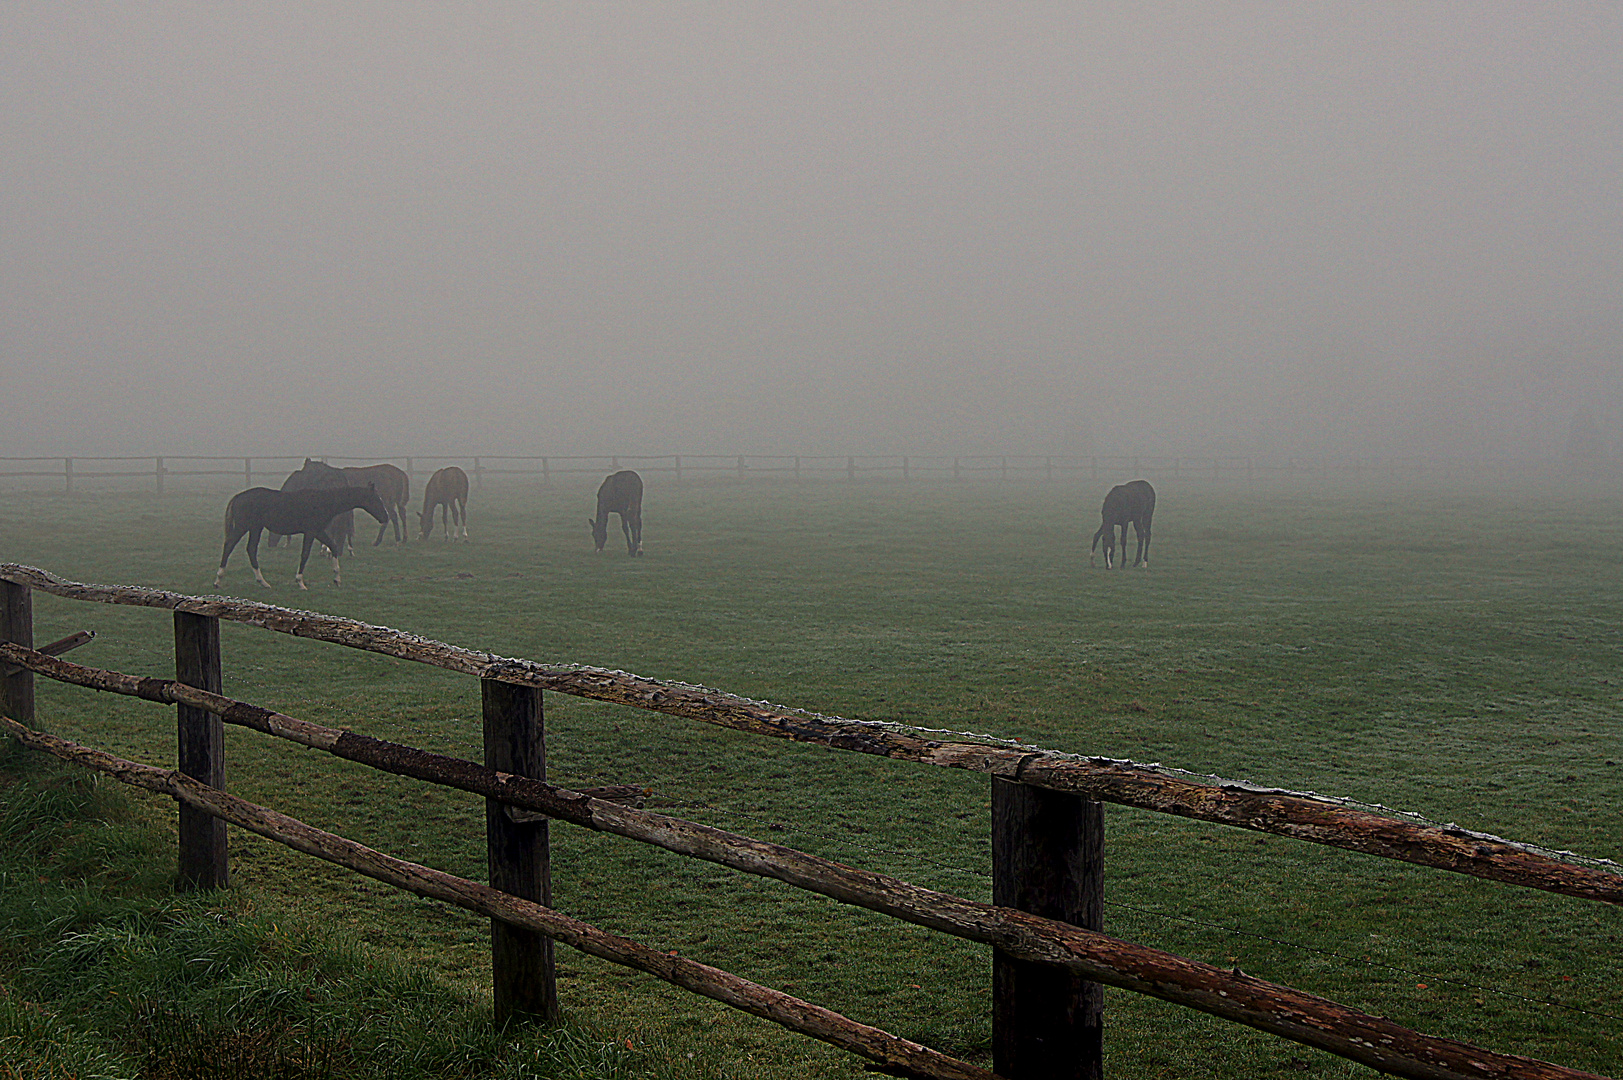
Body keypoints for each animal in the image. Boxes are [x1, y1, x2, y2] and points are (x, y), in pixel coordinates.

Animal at [217, 483, 391, 591]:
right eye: (376, 499)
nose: (385, 517)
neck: (323, 502)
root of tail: (238, 496)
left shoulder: (319, 531)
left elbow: (333, 547)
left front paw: (337, 579)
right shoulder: (311, 531)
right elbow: (305, 554)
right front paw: (300, 582)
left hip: (255, 528)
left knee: (251, 549)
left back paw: (263, 582)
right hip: (244, 526)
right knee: (229, 545)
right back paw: (218, 579)